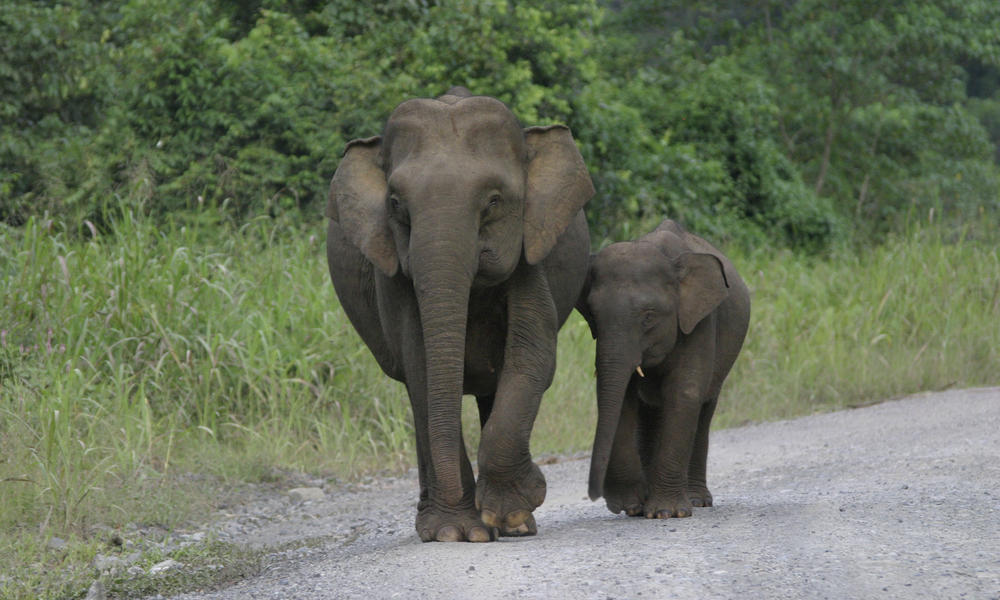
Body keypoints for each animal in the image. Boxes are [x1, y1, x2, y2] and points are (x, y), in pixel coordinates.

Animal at [326, 86, 592, 540]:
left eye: (494, 202)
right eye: (395, 204)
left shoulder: (531, 249)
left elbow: (532, 355)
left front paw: (509, 515)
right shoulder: (392, 273)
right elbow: (422, 367)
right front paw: (459, 533)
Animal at [576, 218, 748, 516]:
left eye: (649, 317)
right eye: (594, 316)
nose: (595, 495)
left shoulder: (699, 322)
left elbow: (684, 393)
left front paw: (666, 512)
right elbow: (622, 398)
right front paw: (632, 506)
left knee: (704, 408)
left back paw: (696, 501)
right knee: (650, 413)